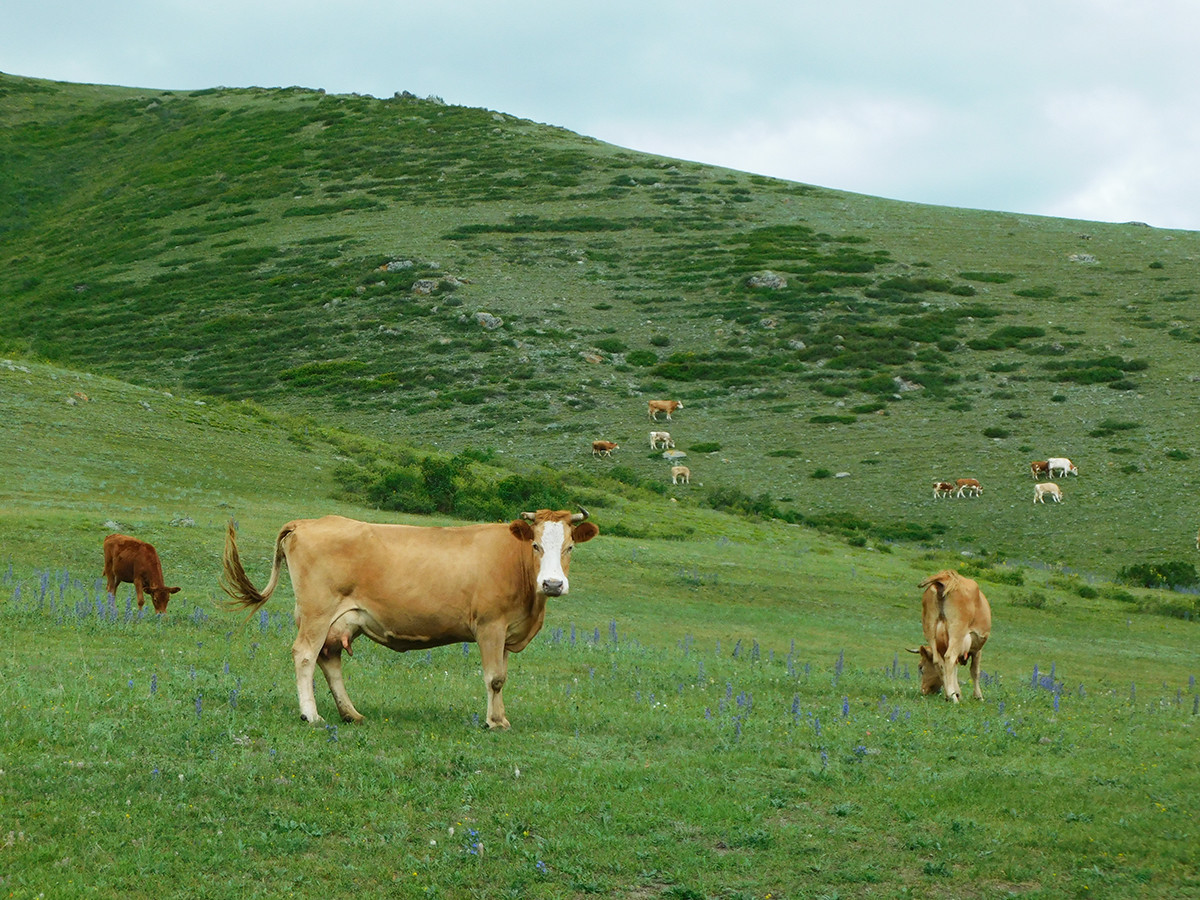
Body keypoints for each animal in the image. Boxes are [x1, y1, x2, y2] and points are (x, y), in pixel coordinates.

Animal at [218, 508, 597, 734]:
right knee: (305, 655)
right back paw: (311, 714)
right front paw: (492, 722)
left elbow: (501, 678)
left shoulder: (506, 631)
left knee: (329, 659)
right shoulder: (490, 625)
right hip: (317, 612)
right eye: (535, 545)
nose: (552, 584)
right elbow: (494, 678)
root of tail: (308, 522)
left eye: (569, 548)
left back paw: (350, 714)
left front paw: (500, 718)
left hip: (341, 619)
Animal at [907, 571, 993, 705]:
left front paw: (957, 693)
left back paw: (950, 695)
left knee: (939, 662)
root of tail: (946, 576)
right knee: (949, 658)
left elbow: (953, 671)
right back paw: (952, 697)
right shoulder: (977, 649)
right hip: (957, 632)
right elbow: (975, 671)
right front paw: (977, 696)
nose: (923, 690)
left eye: (921, 667)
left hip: (930, 630)